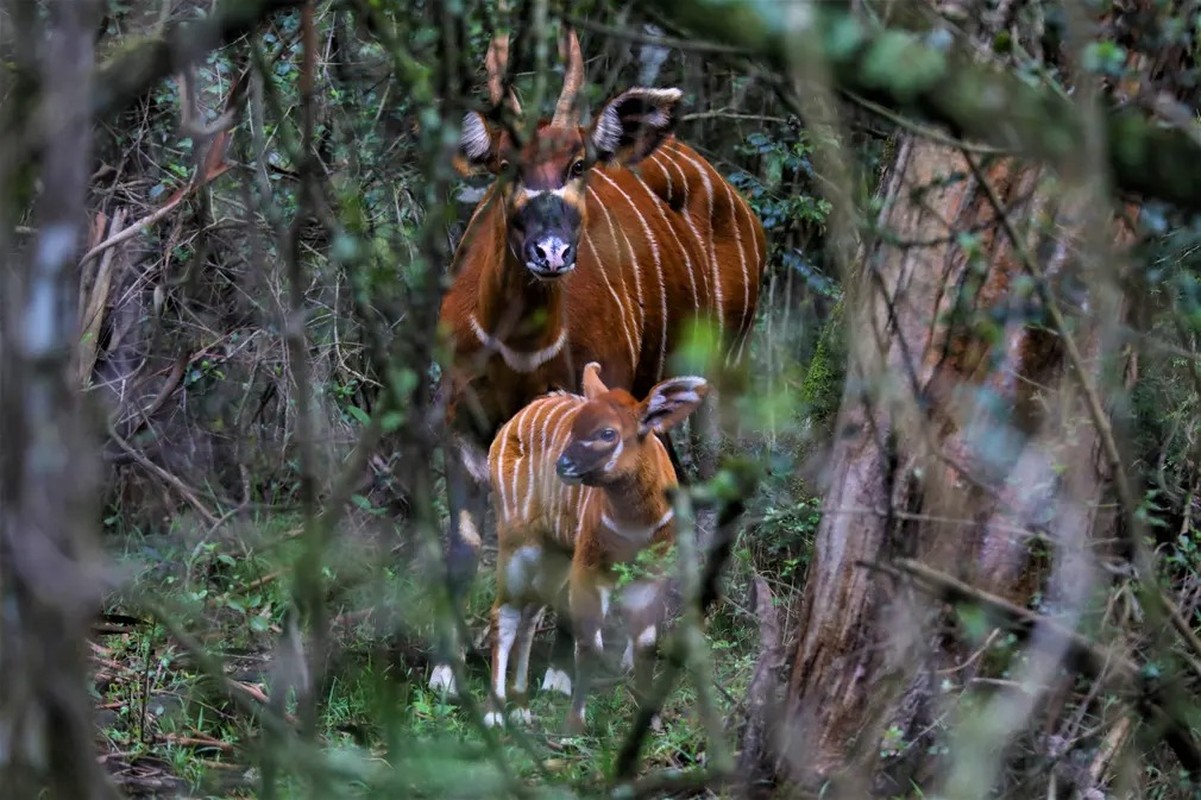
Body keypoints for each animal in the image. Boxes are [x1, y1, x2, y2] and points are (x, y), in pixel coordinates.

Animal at [485, 360, 706, 730]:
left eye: (607, 433)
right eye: (576, 427)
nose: (563, 465)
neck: (635, 523)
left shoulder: (650, 571)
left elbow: (645, 642)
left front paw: (651, 719)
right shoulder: (589, 565)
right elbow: (589, 642)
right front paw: (573, 724)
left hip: (556, 553)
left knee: (530, 612)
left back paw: (521, 705)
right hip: (519, 543)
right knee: (506, 612)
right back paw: (494, 712)